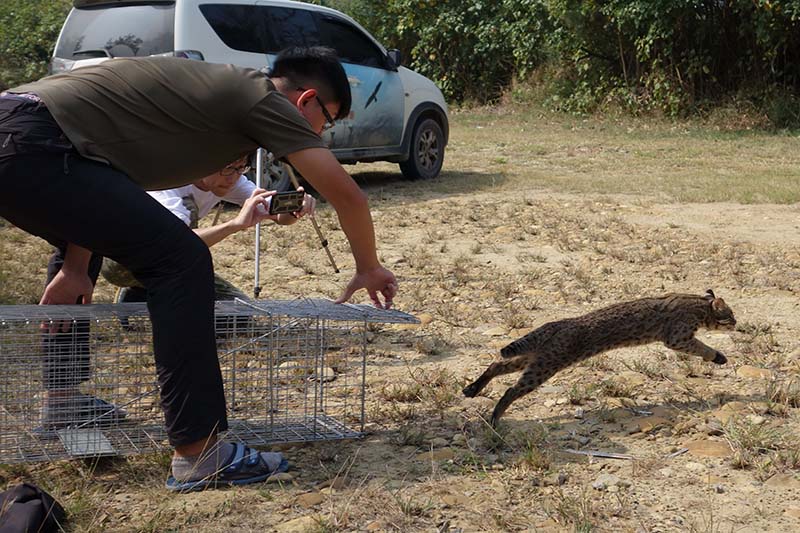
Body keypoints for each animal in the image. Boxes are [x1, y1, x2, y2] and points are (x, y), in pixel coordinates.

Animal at [462, 288, 736, 426]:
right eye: (731, 315)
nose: (736, 324)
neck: (698, 304)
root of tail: (555, 324)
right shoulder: (677, 338)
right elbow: (702, 347)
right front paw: (717, 356)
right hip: (546, 366)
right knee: (510, 389)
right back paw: (494, 418)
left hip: (535, 359)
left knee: (497, 363)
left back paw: (472, 389)